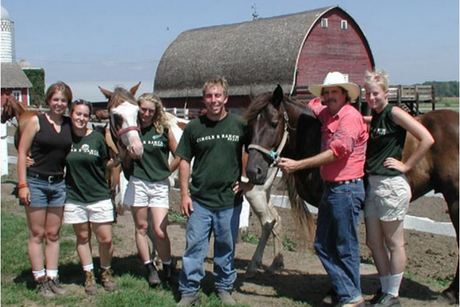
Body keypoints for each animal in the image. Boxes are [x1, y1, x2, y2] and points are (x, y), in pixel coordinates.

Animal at [246, 85, 458, 304]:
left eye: (274, 123)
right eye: (249, 125)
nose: (254, 171)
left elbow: (339, 247)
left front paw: (337, 292)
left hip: (454, 199)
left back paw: (449, 293)